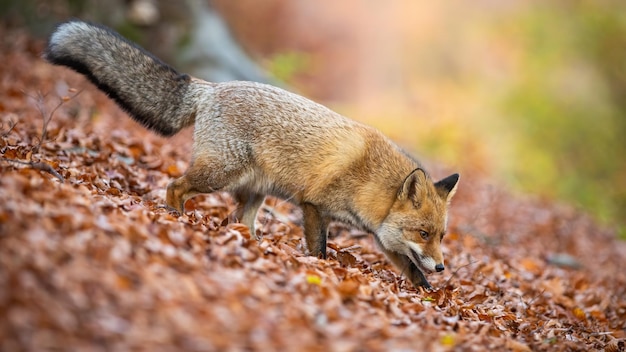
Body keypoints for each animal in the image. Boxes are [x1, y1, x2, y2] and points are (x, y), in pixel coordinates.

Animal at [41, 20, 456, 288]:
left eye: (439, 235)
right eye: (423, 232)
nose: (441, 267)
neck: (370, 178)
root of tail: (211, 87)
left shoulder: (382, 235)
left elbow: (409, 267)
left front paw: (425, 290)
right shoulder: (313, 205)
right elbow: (320, 251)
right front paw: (319, 272)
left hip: (255, 191)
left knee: (239, 222)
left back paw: (251, 245)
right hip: (218, 174)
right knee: (176, 186)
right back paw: (177, 219)